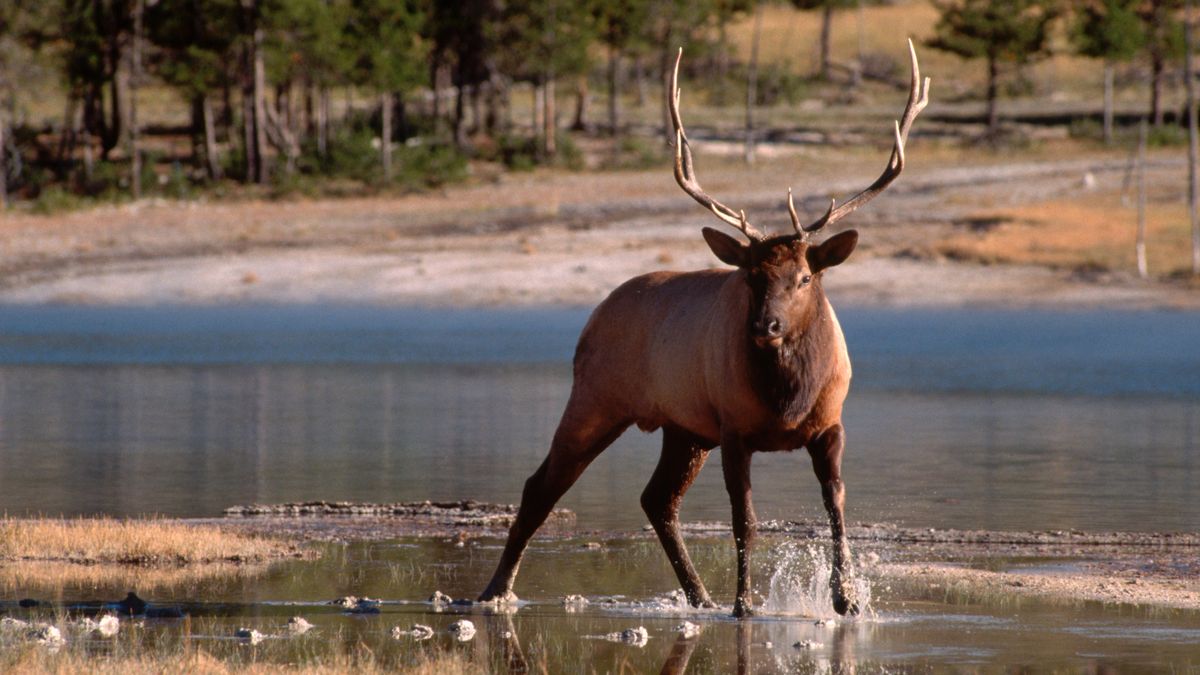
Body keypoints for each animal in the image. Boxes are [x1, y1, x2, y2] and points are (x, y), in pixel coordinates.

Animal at [477, 39, 926, 612]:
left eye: (804, 277)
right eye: (751, 276)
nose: (765, 325)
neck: (789, 397)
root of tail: (593, 316)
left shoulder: (829, 425)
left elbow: (837, 509)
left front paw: (847, 599)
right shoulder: (734, 429)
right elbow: (745, 522)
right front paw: (746, 603)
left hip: (683, 428)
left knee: (656, 498)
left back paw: (700, 596)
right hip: (597, 399)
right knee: (543, 485)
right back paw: (496, 590)